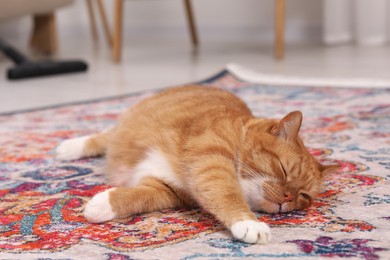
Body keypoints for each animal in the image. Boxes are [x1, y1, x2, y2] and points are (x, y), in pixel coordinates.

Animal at [56, 86, 336, 244]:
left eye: (304, 196)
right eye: (283, 169)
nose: (288, 197)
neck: (237, 133)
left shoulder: (164, 189)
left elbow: (138, 198)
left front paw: (103, 205)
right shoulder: (210, 161)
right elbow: (228, 194)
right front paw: (249, 223)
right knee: (104, 137)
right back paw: (69, 148)